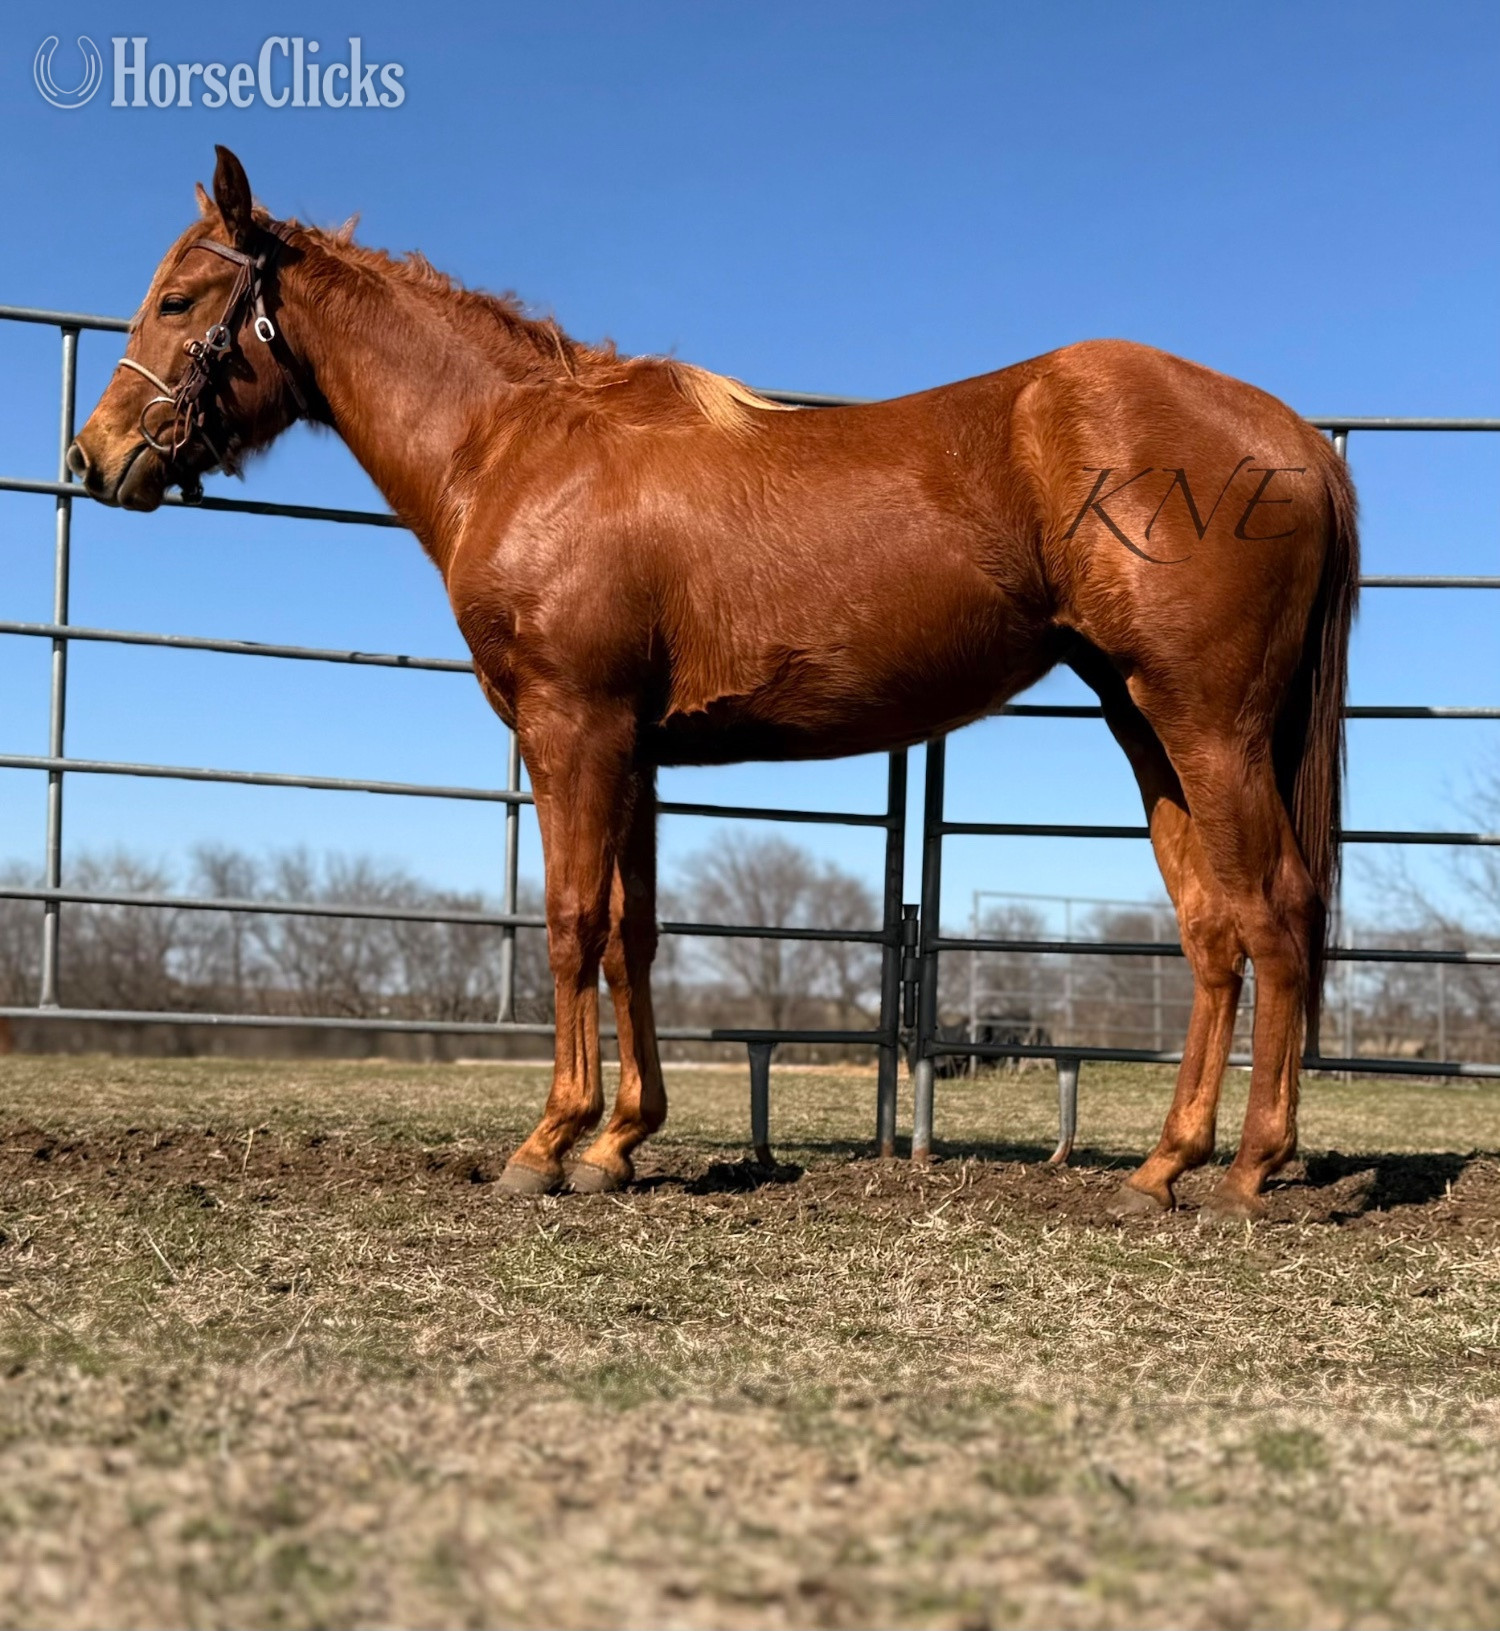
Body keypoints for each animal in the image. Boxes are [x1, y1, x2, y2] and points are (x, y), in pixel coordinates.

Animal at [69, 147, 1358, 1220]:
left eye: (179, 300)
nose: (92, 456)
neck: (523, 446)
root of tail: (1291, 431)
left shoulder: (573, 726)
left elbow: (571, 922)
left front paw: (548, 1142)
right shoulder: (634, 748)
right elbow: (633, 934)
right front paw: (620, 1140)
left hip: (1208, 724)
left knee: (1276, 909)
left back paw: (1249, 1170)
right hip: (1144, 720)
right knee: (1212, 927)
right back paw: (1164, 1164)